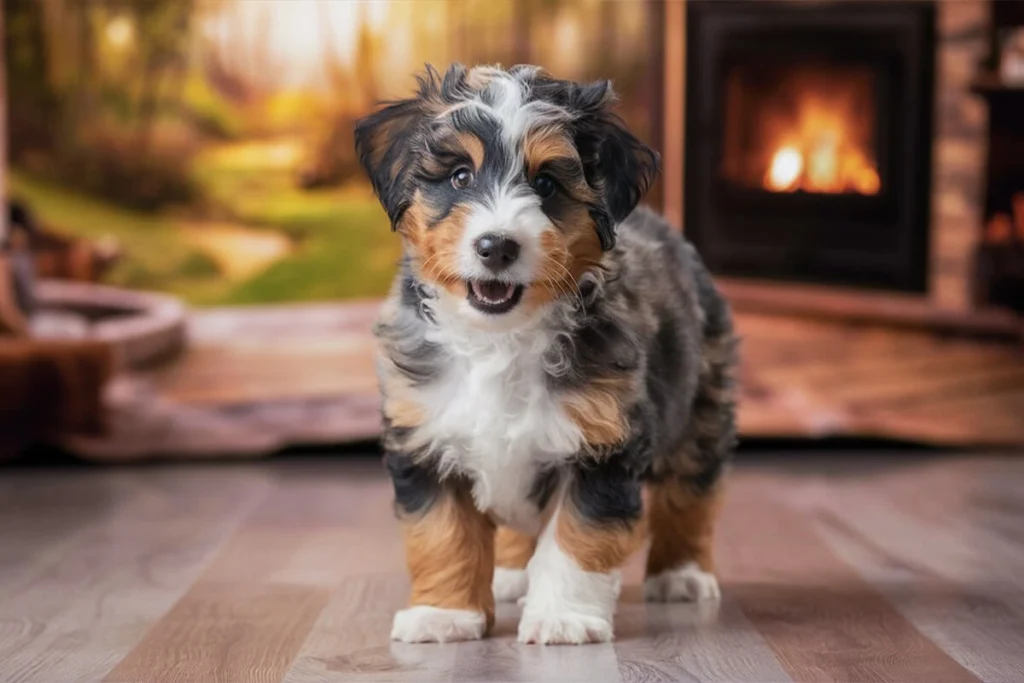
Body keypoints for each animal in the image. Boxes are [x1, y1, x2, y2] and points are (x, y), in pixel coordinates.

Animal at [354, 65, 737, 647]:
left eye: (546, 184)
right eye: (460, 177)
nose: (496, 246)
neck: (499, 339)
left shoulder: (601, 445)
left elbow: (578, 537)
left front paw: (563, 617)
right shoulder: (424, 435)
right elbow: (442, 533)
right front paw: (444, 615)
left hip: (701, 403)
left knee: (691, 492)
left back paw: (682, 573)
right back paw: (512, 574)